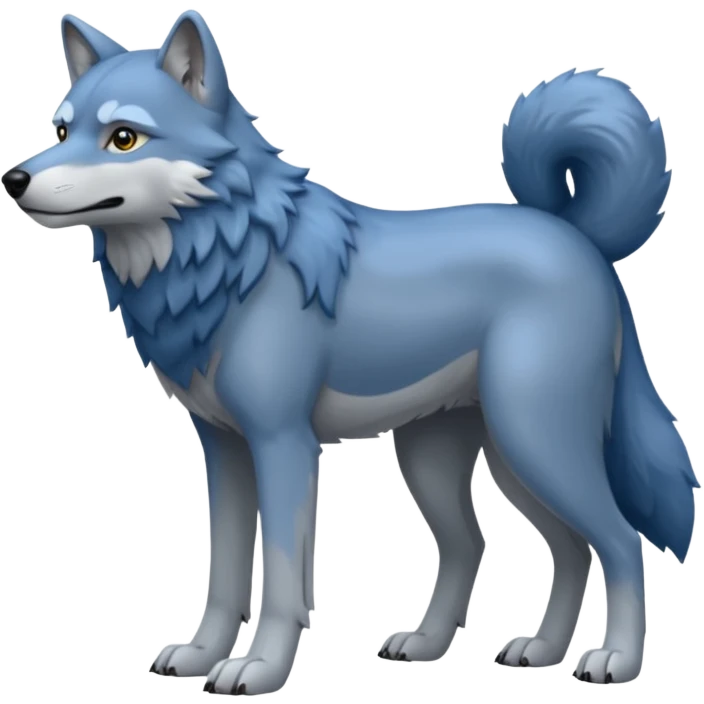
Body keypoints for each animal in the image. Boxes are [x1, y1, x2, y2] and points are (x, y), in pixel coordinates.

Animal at [2, 10, 697, 695]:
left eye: (123, 138)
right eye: (61, 129)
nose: (14, 178)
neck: (230, 260)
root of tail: (575, 234)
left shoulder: (284, 443)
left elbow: (283, 579)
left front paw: (259, 669)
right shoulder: (224, 449)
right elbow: (224, 575)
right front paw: (200, 655)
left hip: (536, 443)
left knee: (618, 540)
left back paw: (613, 661)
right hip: (472, 458)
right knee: (517, 547)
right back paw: (498, 648)